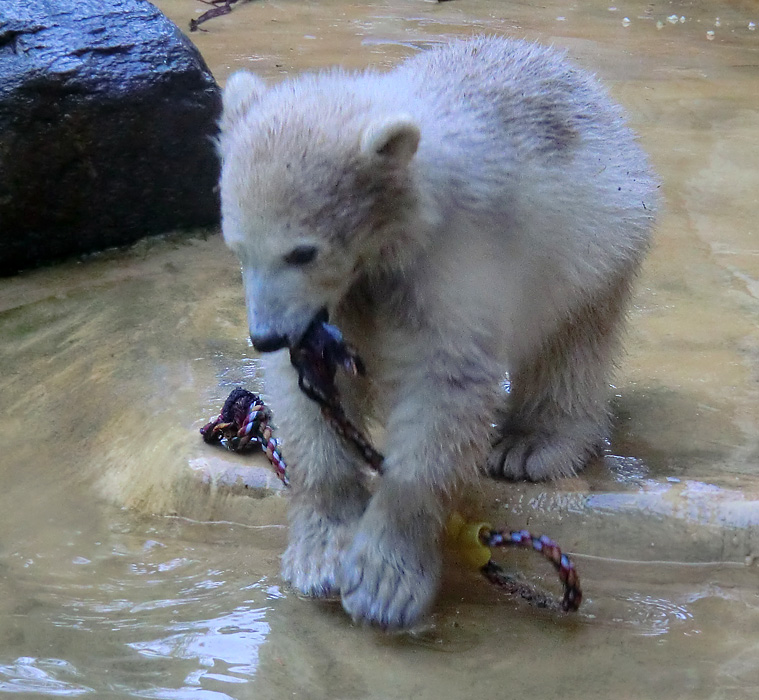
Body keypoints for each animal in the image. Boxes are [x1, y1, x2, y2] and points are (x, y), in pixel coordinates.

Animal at [217, 37, 656, 628]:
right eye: (237, 247)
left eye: (303, 251)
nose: (265, 337)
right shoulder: (336, 303)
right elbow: (310, 399)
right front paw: (319, 556)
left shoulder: (453, 260)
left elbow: (443, 386)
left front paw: (385, 582)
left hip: (593, 239)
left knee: (570, 344)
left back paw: (530, 445)